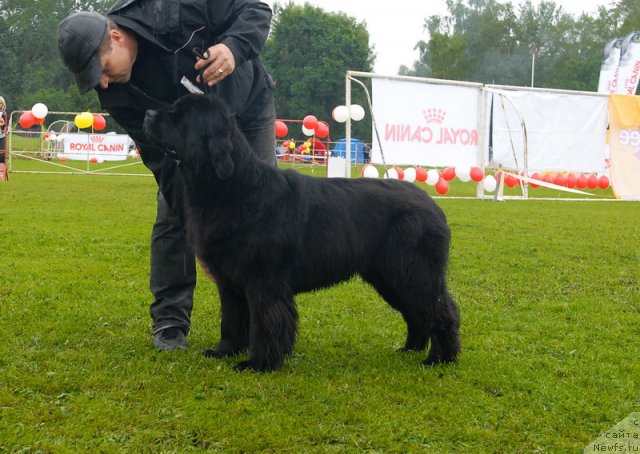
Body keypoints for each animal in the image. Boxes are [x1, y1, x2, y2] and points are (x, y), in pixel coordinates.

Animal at [144, 93, 460, 372]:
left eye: (179, 116)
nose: (147, 114)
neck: (234, 188)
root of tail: (433, 204)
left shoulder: (264, 280)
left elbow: (265, 323)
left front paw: (258, 363)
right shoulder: (230, 281)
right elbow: (232, 319)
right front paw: (224, 351)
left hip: (413, 271)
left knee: (442, 310)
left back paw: (439, 359)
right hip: (388, 276)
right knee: (416, 312)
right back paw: (411, 348)